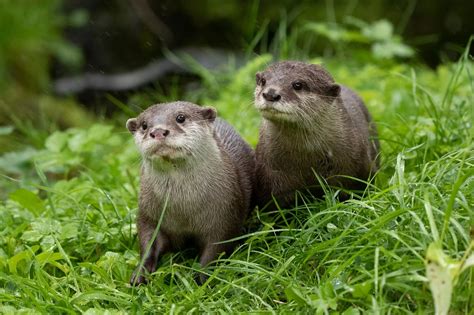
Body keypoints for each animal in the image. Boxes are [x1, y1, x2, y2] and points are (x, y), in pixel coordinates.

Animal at [124, 102, 254, 286]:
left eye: (181, 117)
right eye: (144, 125)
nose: (158, 131)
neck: (183, 209)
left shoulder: (226, 217)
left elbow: (215, 250)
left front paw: (201, 278)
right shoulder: (149, 214)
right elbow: (148, 242)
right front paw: (140, 274)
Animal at [254, 61, 380, 210]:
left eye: (298, 85)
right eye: (263, 81)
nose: (270, 94)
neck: (309, 161)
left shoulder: (361, 169)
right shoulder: (270, 177)